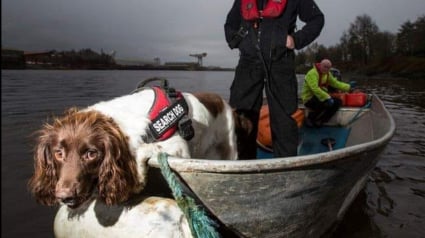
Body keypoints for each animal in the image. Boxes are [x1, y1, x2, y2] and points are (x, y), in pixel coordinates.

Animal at [29, 87, 252, 208]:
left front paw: (137, 179)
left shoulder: (179, 147)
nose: (64, 197)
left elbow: (145, 150)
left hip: (229, 149)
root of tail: (228, 105)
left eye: (91, 154)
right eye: (58, 153)